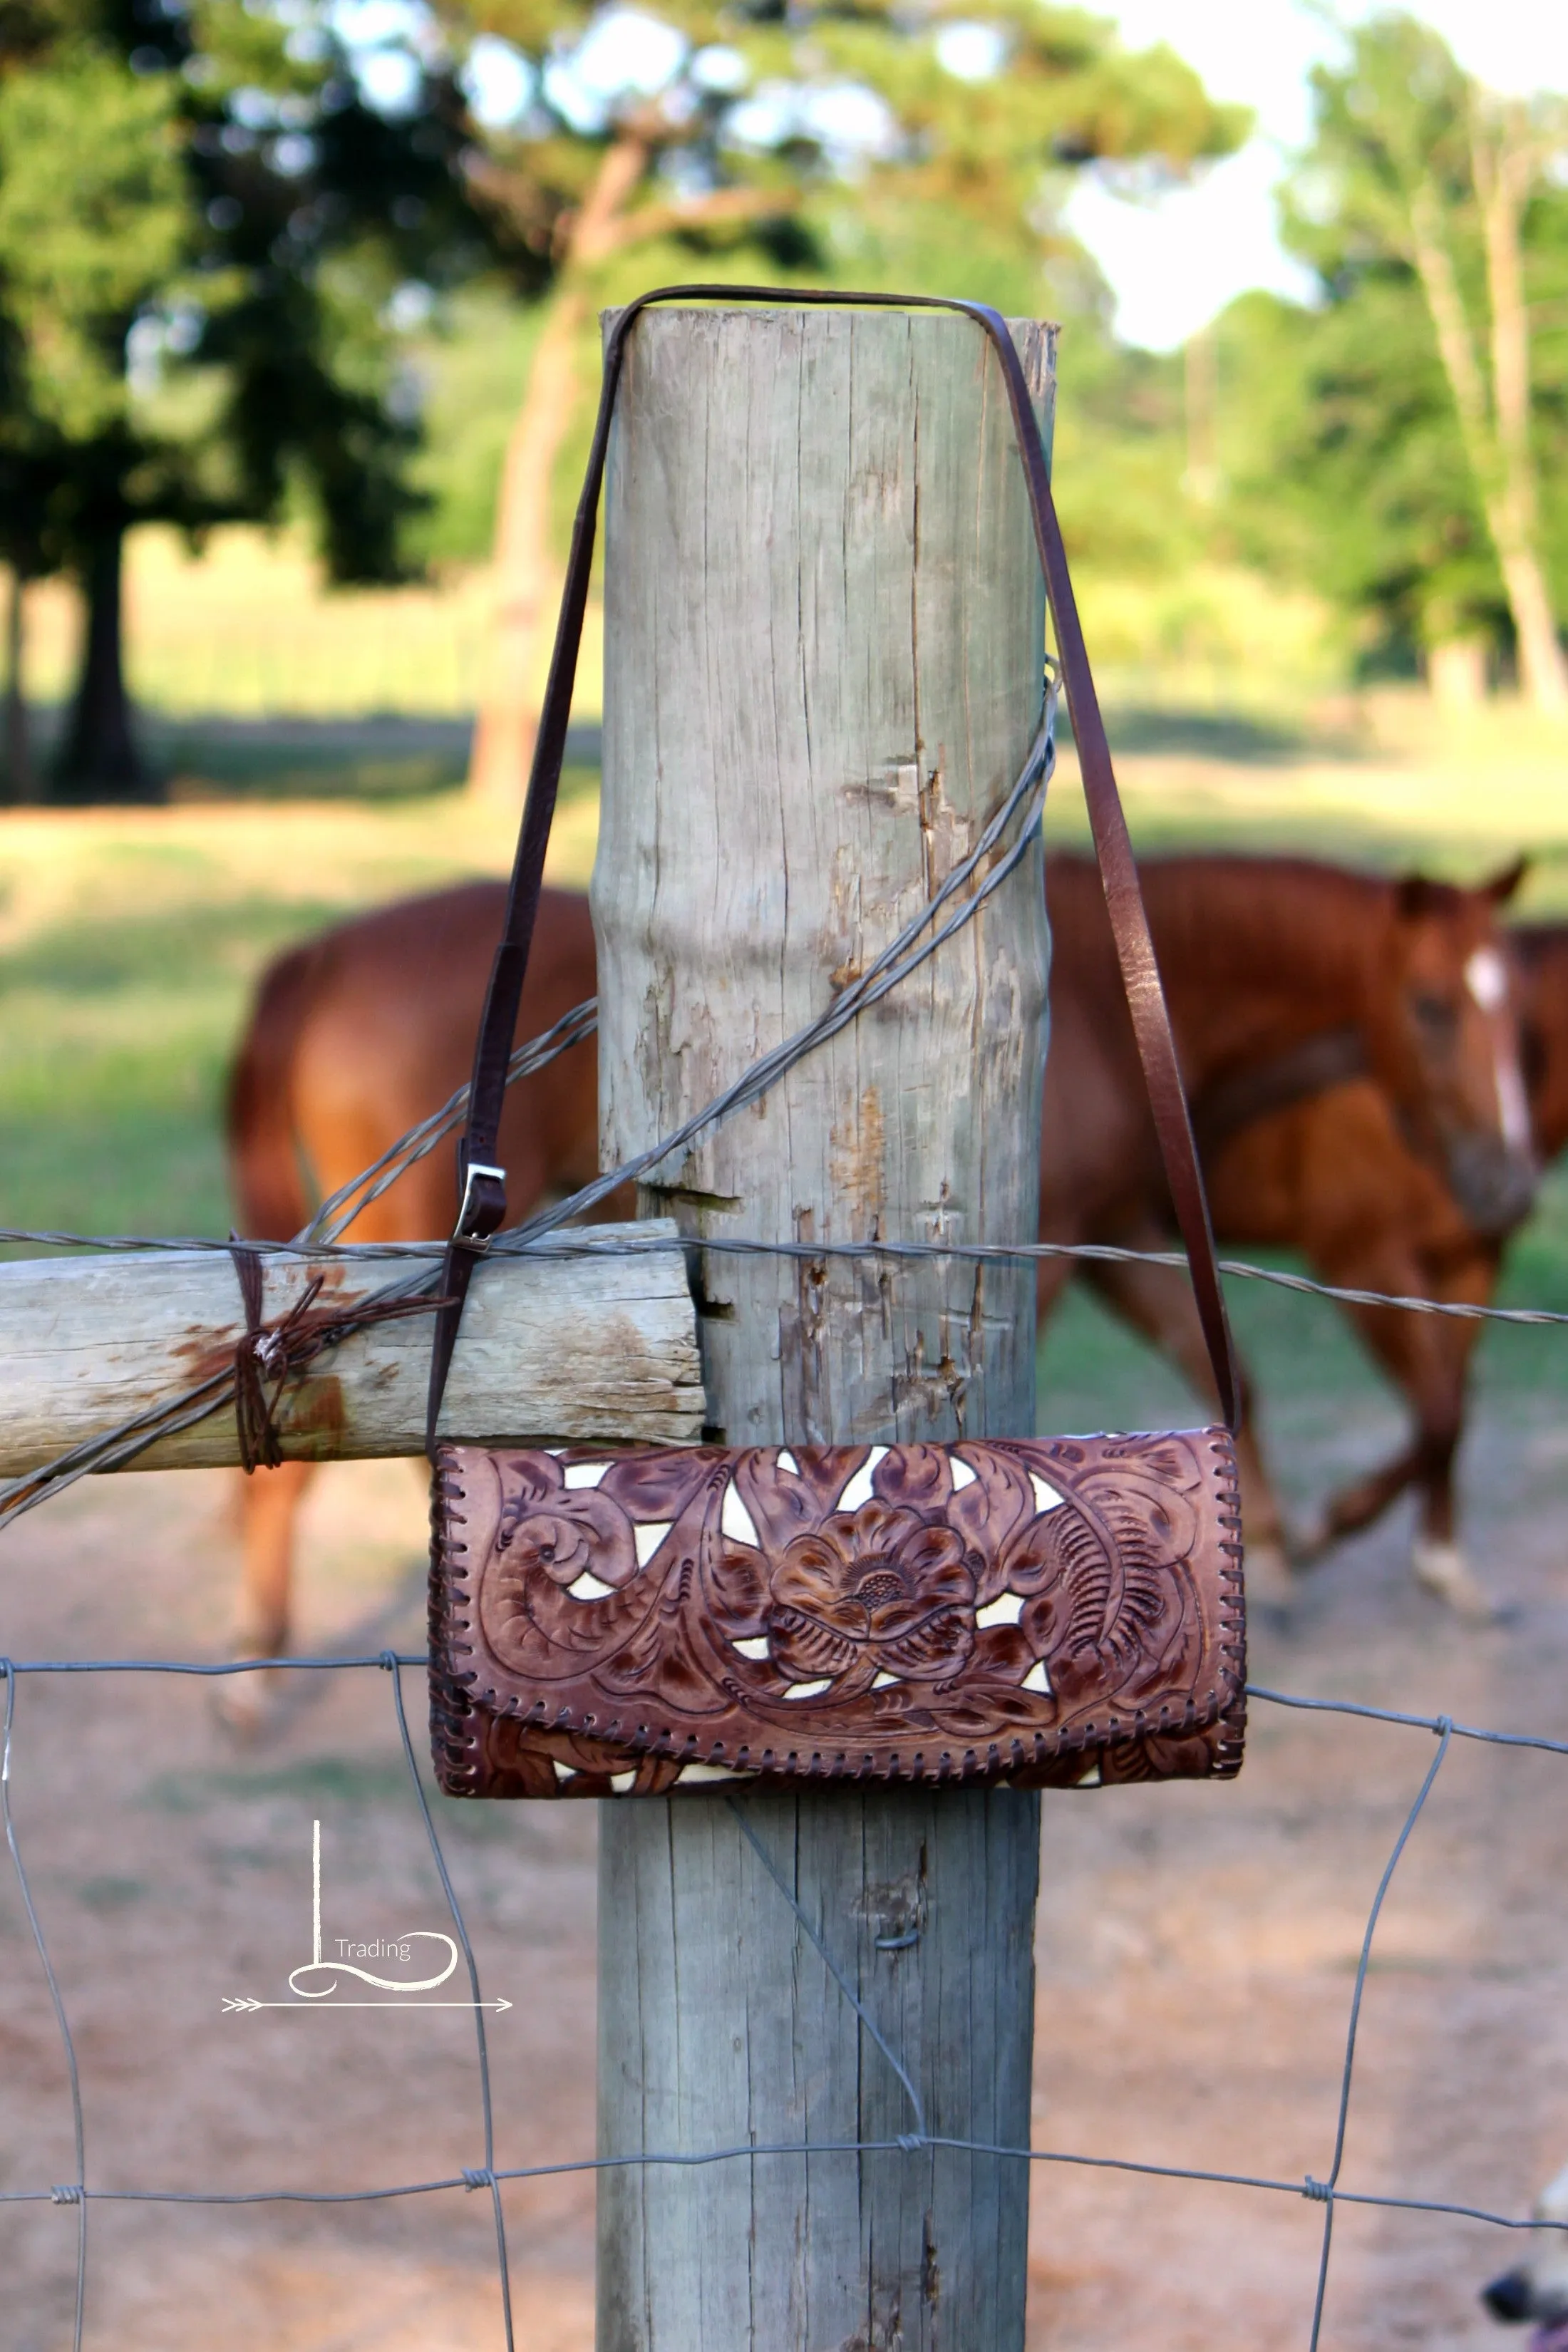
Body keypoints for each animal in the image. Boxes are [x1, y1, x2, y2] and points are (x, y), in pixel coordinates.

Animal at [227, 860, 1542, 1656]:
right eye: (1434, 1007)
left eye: (1522, 1018)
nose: (1508, 1183)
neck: (1109, 1008)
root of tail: (320, 958)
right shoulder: (1046, 1258)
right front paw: (1337, 1536)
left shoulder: (1121, 1237)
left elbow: (1246, 1383)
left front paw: (1291, 1541)